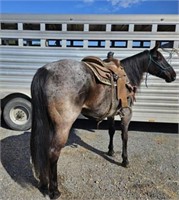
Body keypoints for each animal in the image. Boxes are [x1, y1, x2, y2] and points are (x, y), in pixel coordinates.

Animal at [30, 43, 176, 198]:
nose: (173, 74)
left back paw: (44, 184)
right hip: (63, 126)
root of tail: (45, 70)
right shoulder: (126, 114)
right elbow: (125, 136)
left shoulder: (111, 113)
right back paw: (54, 190)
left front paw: (110, 151)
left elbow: (111, 131)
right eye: (159, 57)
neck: (127, 75)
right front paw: (125, 160)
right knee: (53, 152)